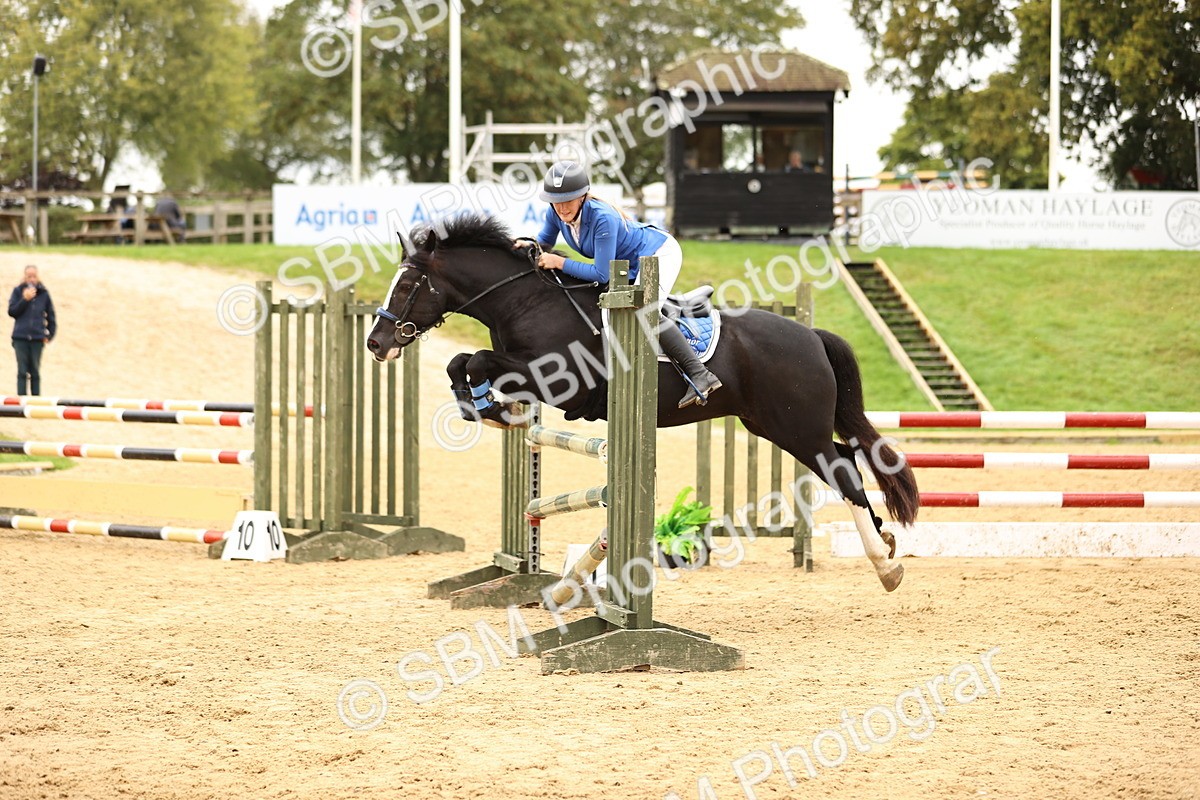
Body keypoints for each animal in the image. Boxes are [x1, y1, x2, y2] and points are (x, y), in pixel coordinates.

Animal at [366, 214, 919, 591]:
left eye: (409, 284)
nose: (376, 343)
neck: (525, 300)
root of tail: (811, 335)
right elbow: (461, 362)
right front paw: (487, 408)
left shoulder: (562, 382)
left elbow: (476, 359)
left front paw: (490, 407)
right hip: (770, 425)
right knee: (848, 459)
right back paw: (887, 543)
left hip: (796, 427)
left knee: (843, 469)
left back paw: (886, 564)